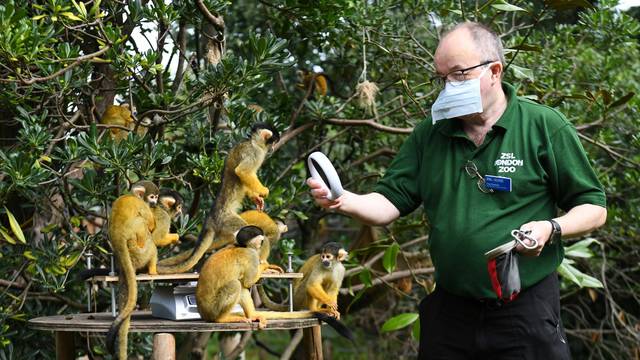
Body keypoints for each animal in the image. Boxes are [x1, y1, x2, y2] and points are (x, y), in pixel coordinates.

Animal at [105, 180, 160, 360]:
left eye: (157, 197)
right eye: (152, 197)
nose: (155, 202)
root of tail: (117, 236)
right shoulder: (142, 205)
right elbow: (150, 223)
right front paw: (152, 223)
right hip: (136, 242)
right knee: (141, 224)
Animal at [156, 122, 280, 274]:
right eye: (273, 142)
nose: (272, 148)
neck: (252, 141)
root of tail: (211, 218)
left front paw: (256, 198)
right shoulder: (254, 153)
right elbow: (242, 172)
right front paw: (263, 191)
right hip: (226, 220)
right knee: (246, 230)